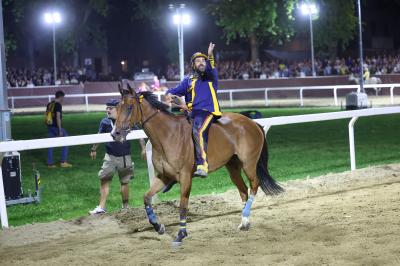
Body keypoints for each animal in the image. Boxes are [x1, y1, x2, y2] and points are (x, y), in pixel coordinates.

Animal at [111, 83, 282, 245]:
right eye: (117, 107)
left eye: (130, 107)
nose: (115, 134)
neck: (167, 135)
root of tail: (252, 123)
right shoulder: (164, 176)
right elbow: (146, 198)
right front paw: (158, 226)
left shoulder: (186, 177)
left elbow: (183, 205)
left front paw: (181, 234)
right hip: (232, 167)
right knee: (243, 191)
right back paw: (244, 222)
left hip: (249, 164)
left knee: (254, 185)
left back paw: (245, 216)